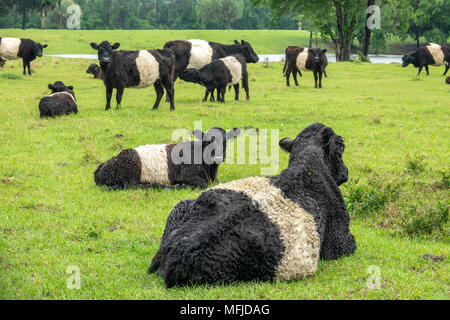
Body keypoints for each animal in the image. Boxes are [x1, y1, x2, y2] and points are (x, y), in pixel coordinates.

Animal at [95, 127, 243, 190]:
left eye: (225, 142)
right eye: (208, 142)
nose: (218, 157)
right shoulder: (186, 175)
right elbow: (204, 184)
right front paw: (181, 185)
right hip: (131, 173)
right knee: (133, 186)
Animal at [149, 122, 356, 288]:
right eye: (341, 147)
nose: (345, 172)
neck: (307, 166)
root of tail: (182, 251)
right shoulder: (342, 241)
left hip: (181, 206)